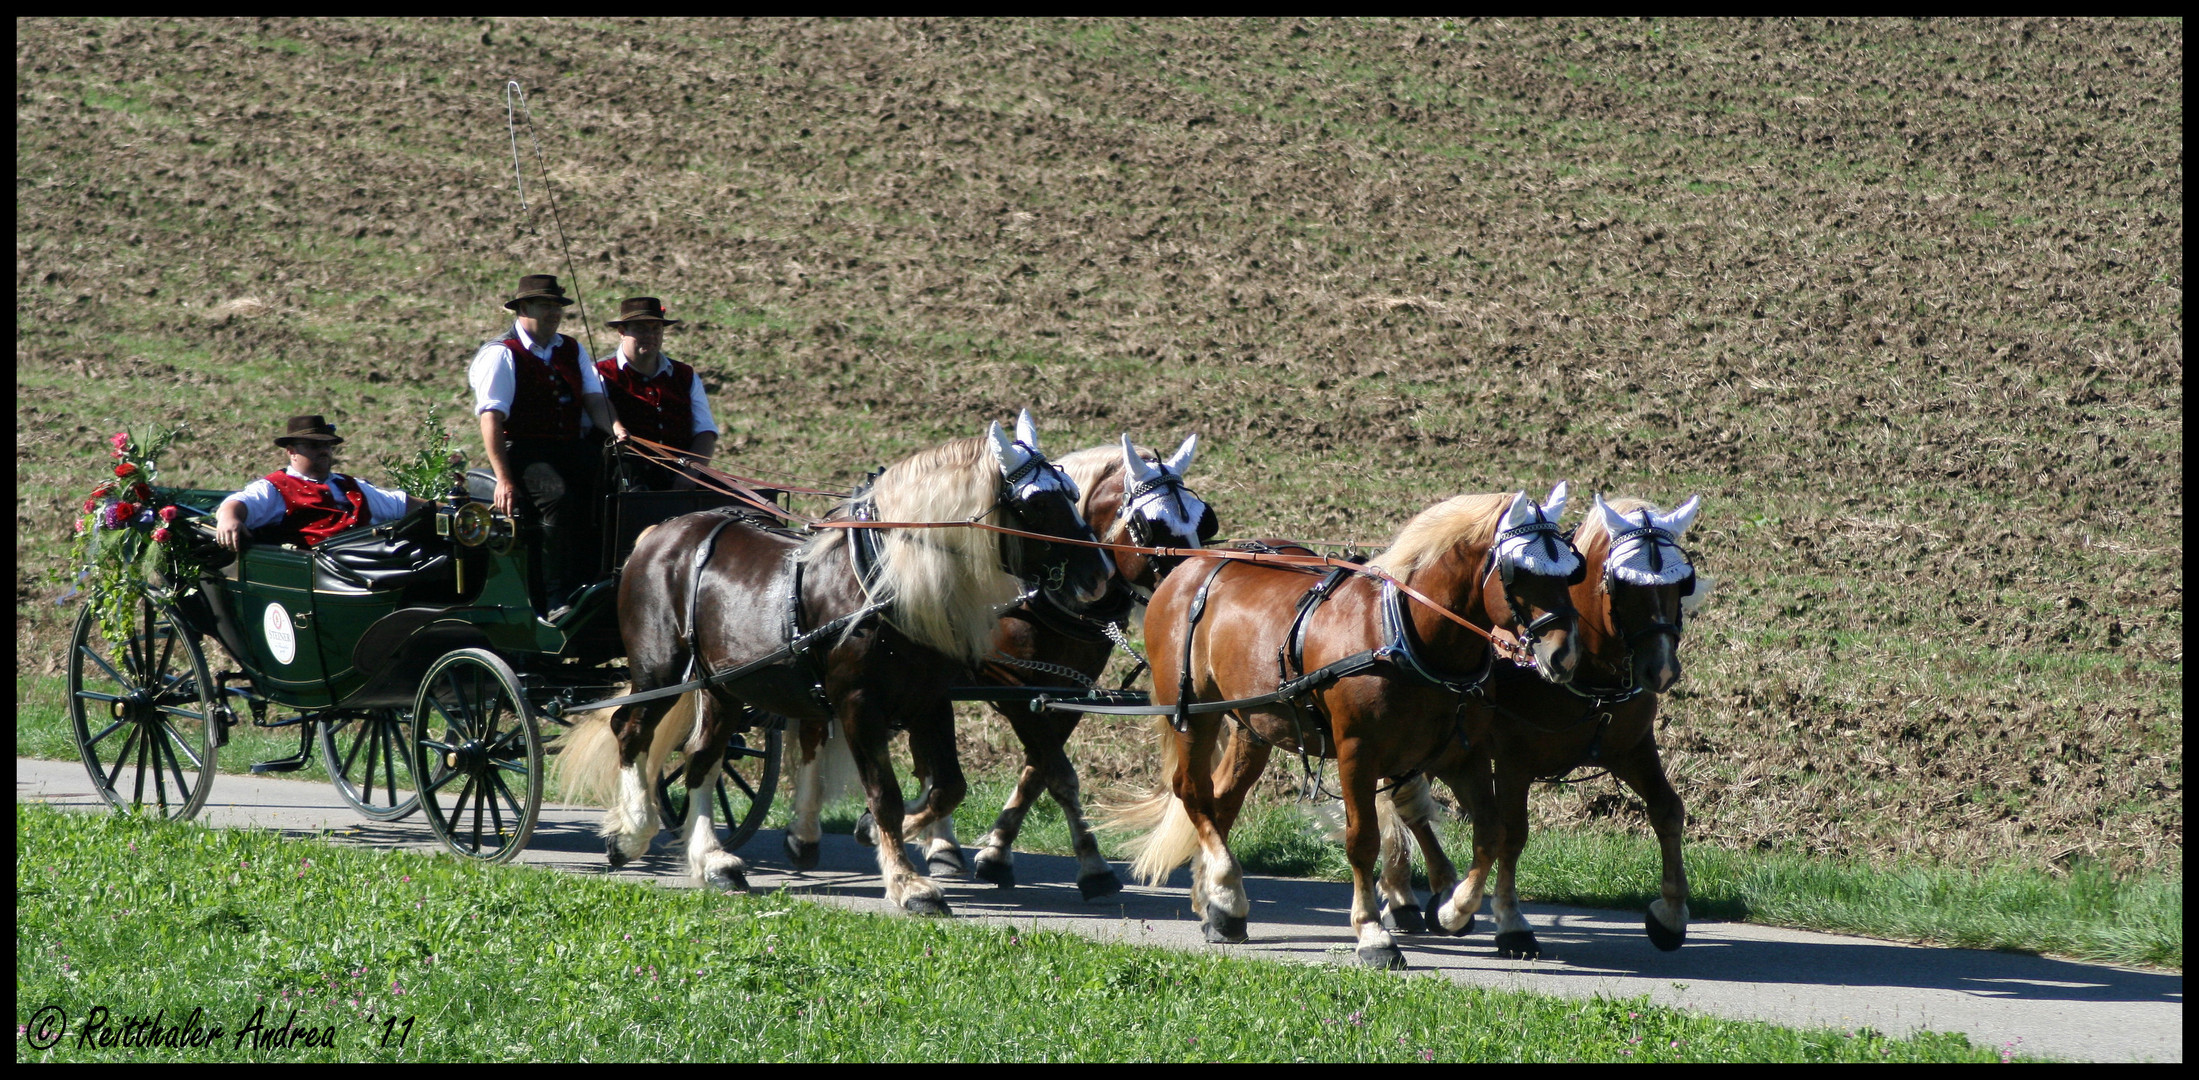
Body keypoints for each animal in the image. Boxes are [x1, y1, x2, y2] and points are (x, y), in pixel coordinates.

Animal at [567, 411, 1117, 915]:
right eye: (1036, 503)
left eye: (1072, 493)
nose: (1100, 574)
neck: (883, 582)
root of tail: (659, 531)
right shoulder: (858, 703)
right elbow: (886, 792)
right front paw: (907, 882)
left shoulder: (930, 702)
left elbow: (948, 788)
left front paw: (879, 834)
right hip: (659, 668)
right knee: (632, 731)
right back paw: (632, 833)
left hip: (724, 685)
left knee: (702, 757)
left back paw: (714, 861)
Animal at [1108, 486, 1592, 967]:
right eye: (1518, 573)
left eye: (1572, 571)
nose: (1565, 655)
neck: (1404, 634)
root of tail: (1185, 569)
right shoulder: (1357, 752)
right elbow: (1363, 841)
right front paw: (1374, 934)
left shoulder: (1460, 755)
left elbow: (1491, 833)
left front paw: (1455, 909)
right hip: (1194, 714)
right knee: (1192, 792)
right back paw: (1226, 891)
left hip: (1253, 724)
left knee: (1222, 800)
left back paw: (1219, 907)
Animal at [1372, 494, 1715, 959]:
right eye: (1621, 584)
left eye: (1681, 584)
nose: (1660, 670)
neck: (1589, 669)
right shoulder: (1513, 761)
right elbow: (1512, 833)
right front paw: (1510, 922)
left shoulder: (1632, 749)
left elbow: (1667, 810)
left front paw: (1672, 914)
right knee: (1403, 802)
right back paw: (1411, 896)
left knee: (1406, 803)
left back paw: (1418, 894)